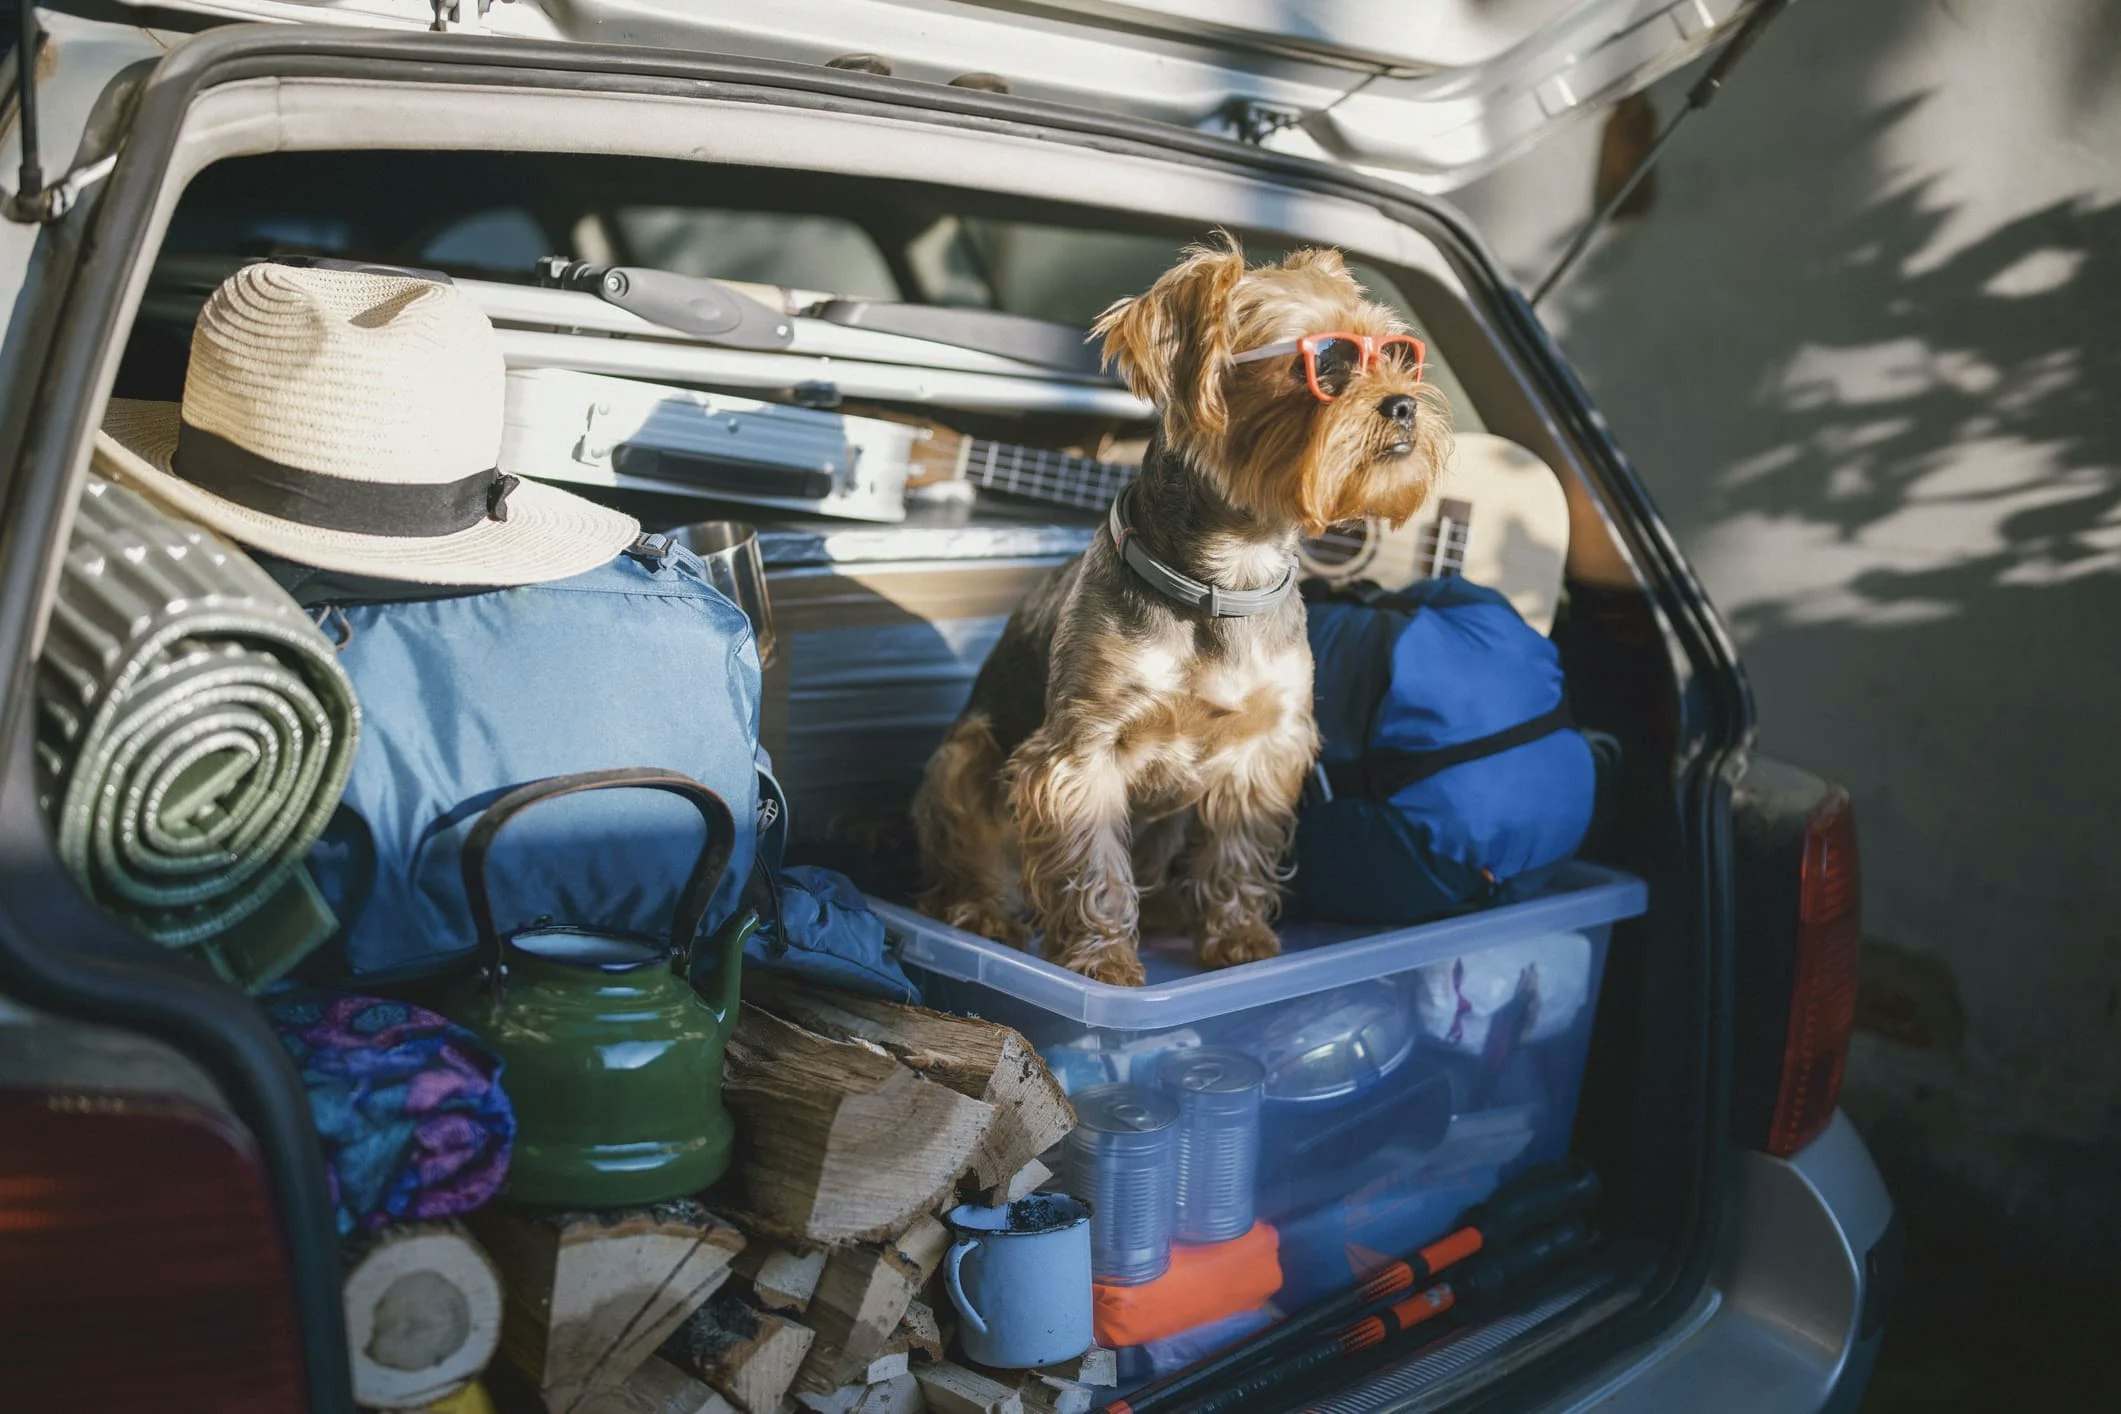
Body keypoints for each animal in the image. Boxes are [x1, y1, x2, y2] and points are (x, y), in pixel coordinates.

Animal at [903, 237, 1450, 983]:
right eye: (1325, 361)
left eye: (1398, 353)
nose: (1403, 405)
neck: (1229, 576)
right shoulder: (1082, 750)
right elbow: (1093, 864)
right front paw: (1101, 960)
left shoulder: (1263, 745)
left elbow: (1237, 849)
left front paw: (1237, 936)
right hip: (964, 756)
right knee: (967, 857)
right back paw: (983, 911)